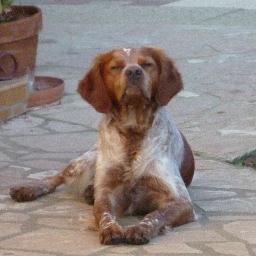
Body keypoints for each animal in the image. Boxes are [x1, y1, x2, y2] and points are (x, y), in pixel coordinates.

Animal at [9, 47, 194, 245]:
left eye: (147, 64)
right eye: (116, 67)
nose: (133, 71)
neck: (132, 131)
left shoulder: (180, 200)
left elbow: (154, 215)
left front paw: (139, 229)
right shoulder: (107, 193)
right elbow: (105, 214)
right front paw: (110, 230)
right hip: (86, 159)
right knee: (56, 177)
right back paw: (28, 189)